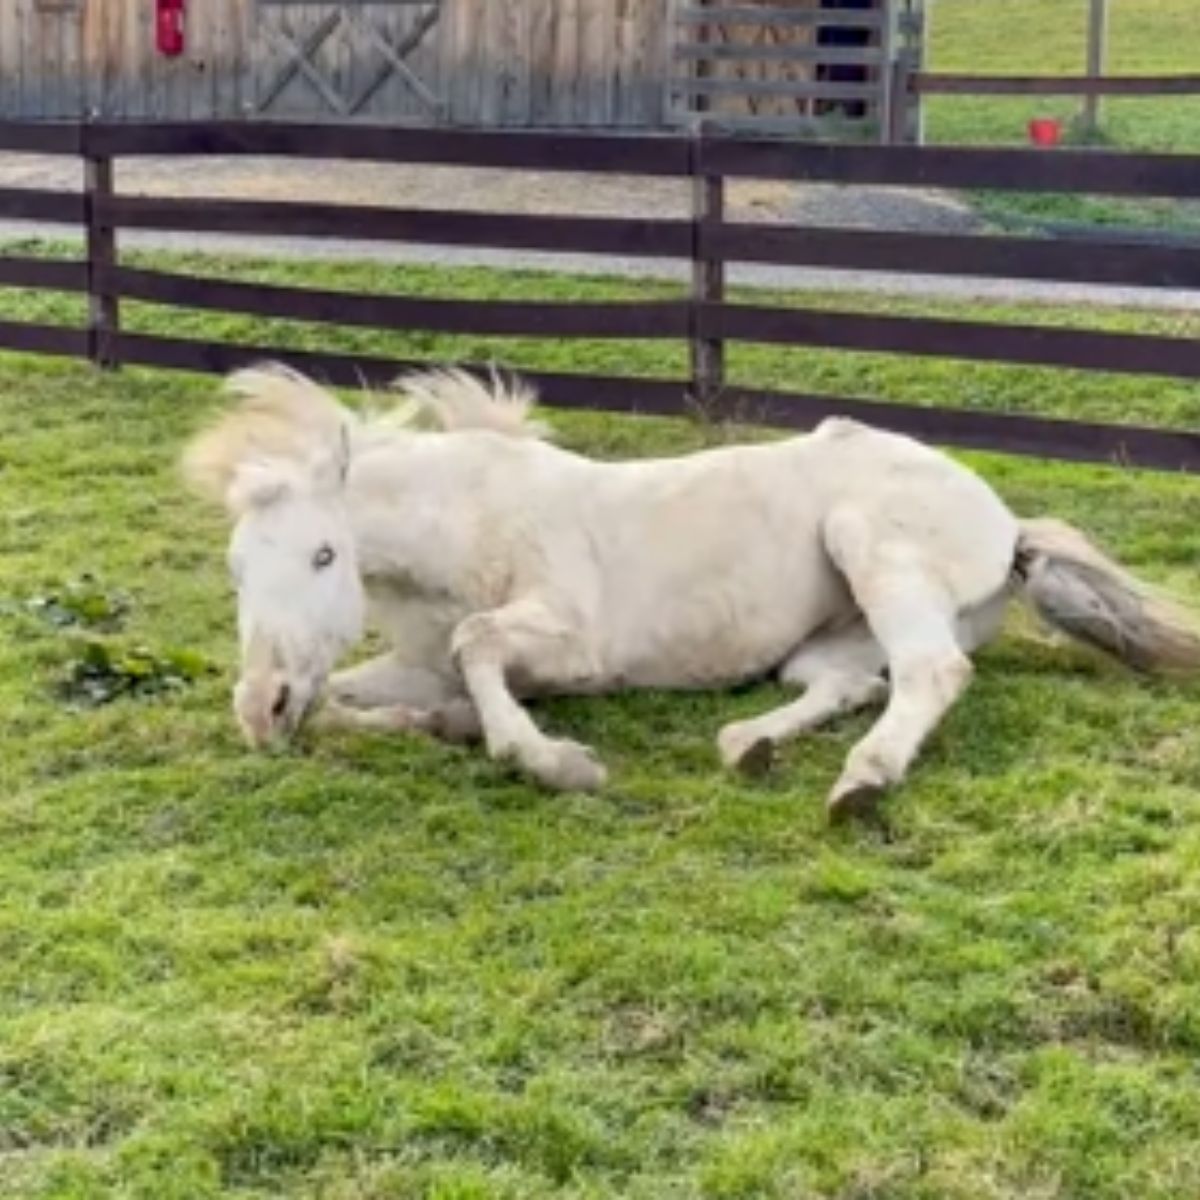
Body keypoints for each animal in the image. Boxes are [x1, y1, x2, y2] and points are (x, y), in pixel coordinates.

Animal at [182, 364, 1200, 821]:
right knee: (848, 683)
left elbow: (480, 650)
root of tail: (1006, 521)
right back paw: (750, 745)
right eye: (236, 568)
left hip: (873, 549)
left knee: (931, 672)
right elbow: (360, 699)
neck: (468, 524)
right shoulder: (414, 664)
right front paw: (445, 726)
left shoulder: (572, 643)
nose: (260, 708)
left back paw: (861, 781)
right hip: (826, 637)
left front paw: (551, 760)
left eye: (323, 555)